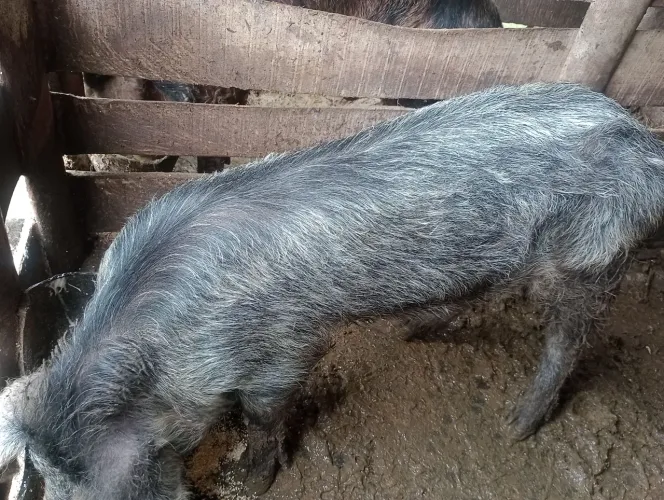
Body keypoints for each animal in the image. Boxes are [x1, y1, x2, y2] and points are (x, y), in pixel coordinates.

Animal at [4, 82, 662, 499]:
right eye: (50, 480)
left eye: (115, 482)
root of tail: (641, 139)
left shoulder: (281, 348)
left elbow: (265, 416)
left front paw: (250, 483)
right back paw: (414, 332)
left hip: (588, 256)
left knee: (568, 341)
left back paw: (515, 426)